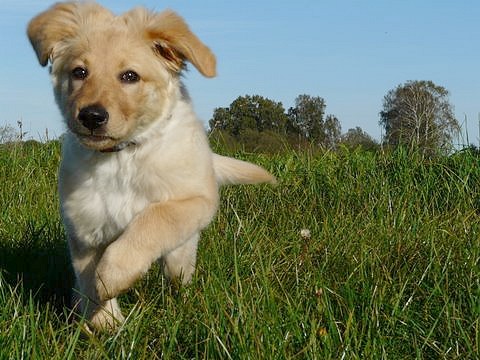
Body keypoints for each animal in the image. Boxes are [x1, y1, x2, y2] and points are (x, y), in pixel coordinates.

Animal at [27, 0, 274, 332]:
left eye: (130, 76)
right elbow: (87, 274)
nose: (91, 116)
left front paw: (112, 276)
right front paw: (105, 321)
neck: (121, 157)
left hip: (184, 244)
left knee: (177, 265)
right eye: (79, 72)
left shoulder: (195, 200)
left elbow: (153, 219)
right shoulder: (84, 223)